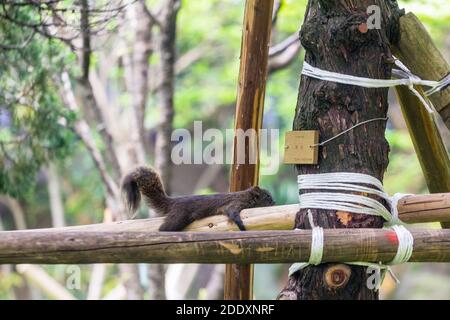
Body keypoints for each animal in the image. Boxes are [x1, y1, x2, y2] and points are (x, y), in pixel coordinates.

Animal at [120, 166, 274, 231]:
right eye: (267, 196)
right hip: (178, 218)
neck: (246, 195)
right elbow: (232, 212)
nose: (274, 202)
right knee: (163, 228)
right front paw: (241, 226)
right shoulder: (235, 203)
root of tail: (173, 202)